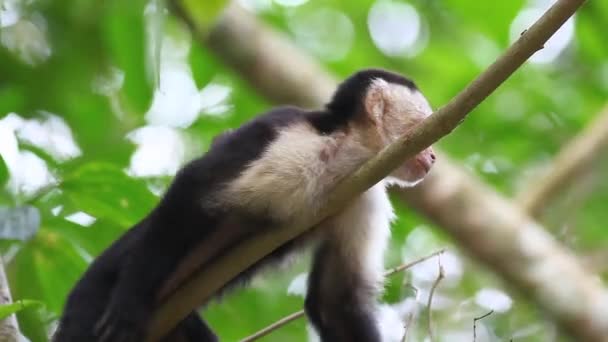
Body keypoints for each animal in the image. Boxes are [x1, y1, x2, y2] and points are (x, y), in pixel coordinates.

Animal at [52, 68, 434, 340]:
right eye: (424, 123)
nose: (432, 157)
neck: (346, 156)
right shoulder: (285, 136)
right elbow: (194, 188)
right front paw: (130, 303)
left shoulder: (362, 195)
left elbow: (336, 301)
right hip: (92, 299)